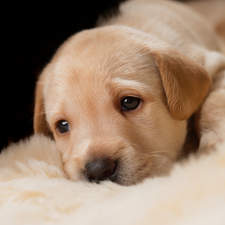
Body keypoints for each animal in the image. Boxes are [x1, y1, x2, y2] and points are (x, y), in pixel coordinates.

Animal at [33, 0, 225, 185]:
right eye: (62, 126)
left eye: (130, 102)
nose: (98, 170)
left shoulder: (215, 65)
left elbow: (214, 103)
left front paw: (213, 144)